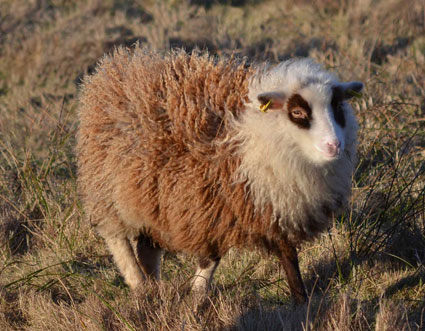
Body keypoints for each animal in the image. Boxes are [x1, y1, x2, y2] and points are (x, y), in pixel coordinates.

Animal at [76, 47, 362, 306]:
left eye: (338, 107)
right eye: (299, 113)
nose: (334, 145)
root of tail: (120, 63)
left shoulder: (264, 206)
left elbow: (283, 255)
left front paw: (301, 301)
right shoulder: (213, 202)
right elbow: (214, 255)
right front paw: (197, 295)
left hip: (149, 193)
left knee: (148, 247)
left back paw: (154, 288)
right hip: (106, 189)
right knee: (118, 240)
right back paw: (139, 285)